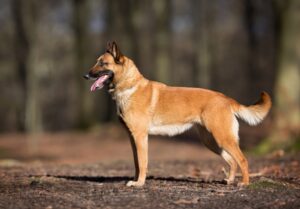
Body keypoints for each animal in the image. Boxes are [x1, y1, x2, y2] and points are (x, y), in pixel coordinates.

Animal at [83, 40, 270, 186]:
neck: (129, 86)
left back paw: (244, 183)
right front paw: (136, 180)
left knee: (242, 159)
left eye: (102, 63)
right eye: (97, 62)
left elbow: (142, 162)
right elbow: (136, 163)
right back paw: (230, 180)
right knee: (232, 161)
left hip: (222, 138)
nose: (85, 75)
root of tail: (226, 98)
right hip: (212, 141)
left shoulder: (140, 137)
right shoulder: (133, 138)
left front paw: (139, 183)